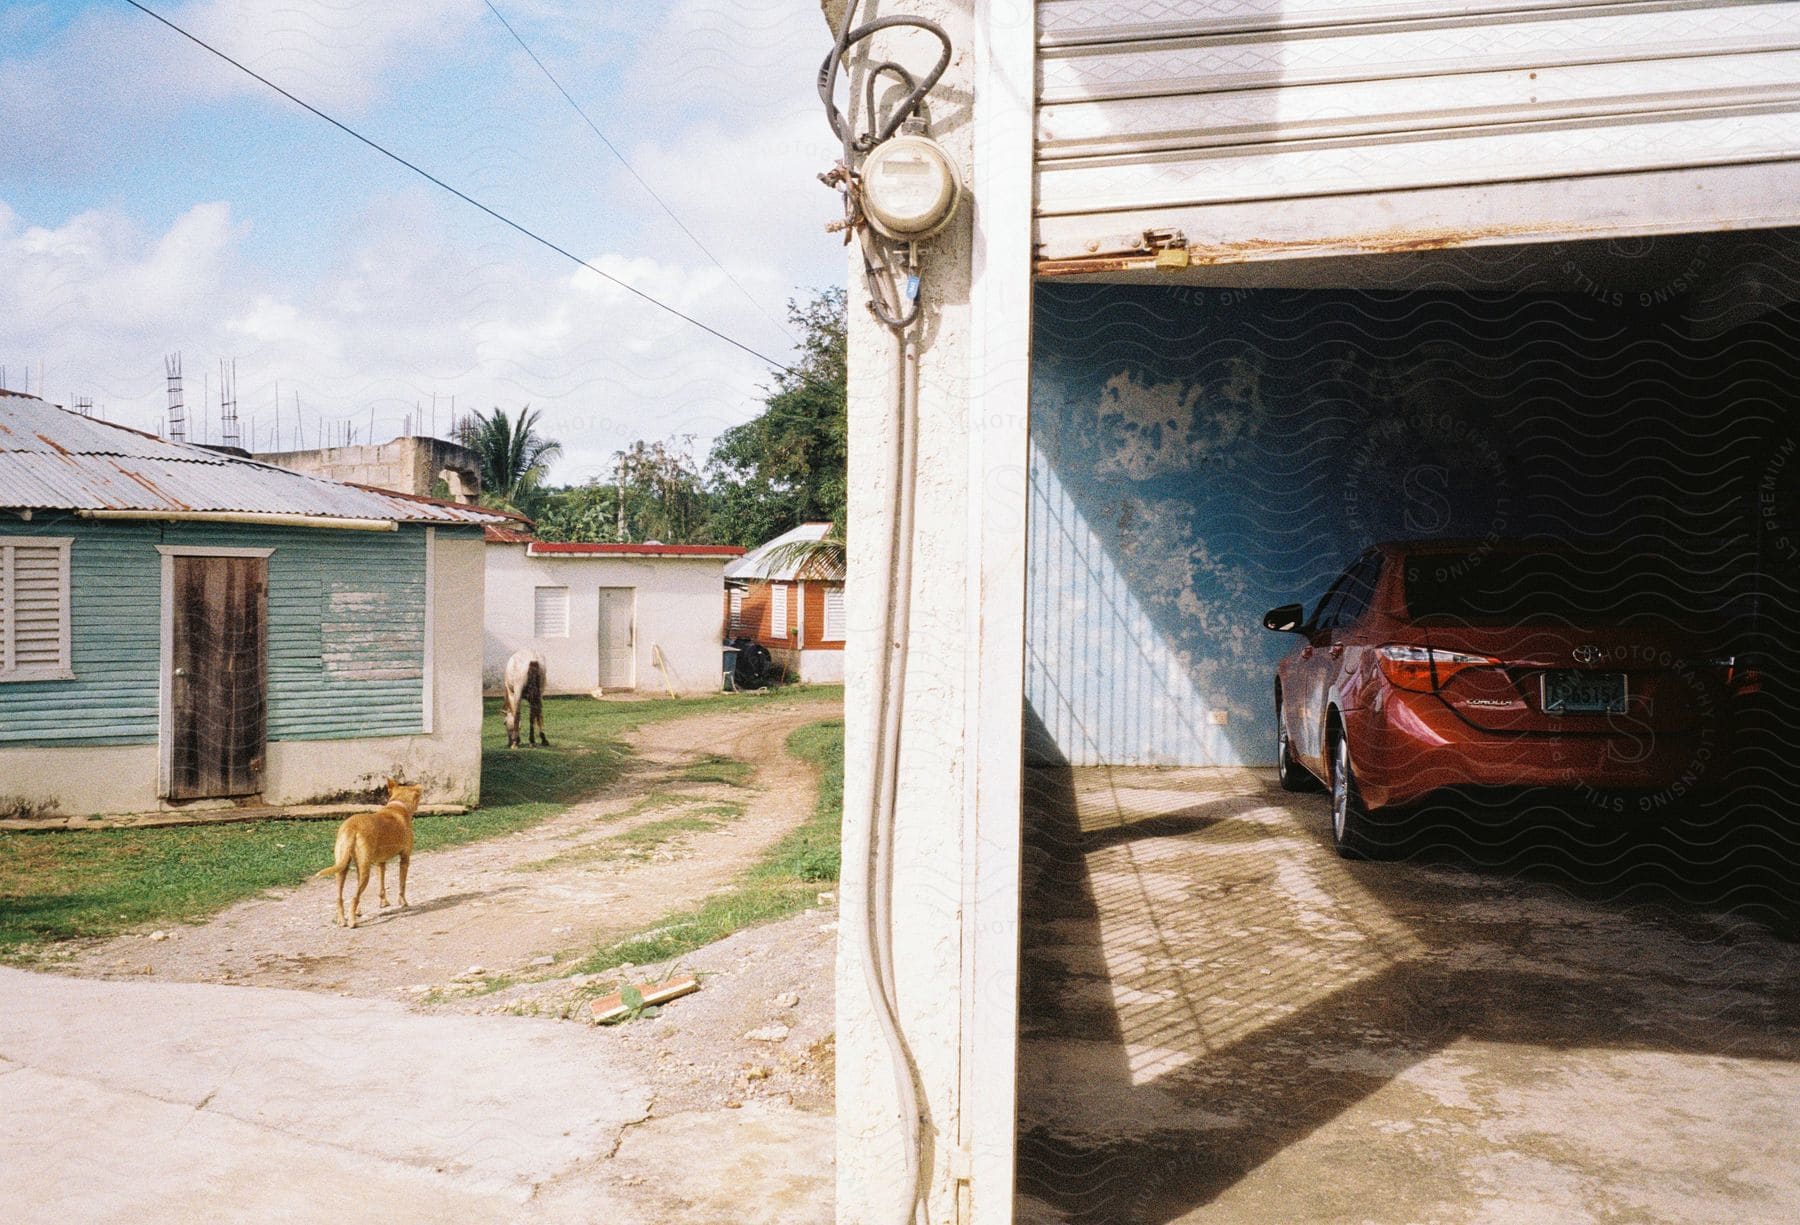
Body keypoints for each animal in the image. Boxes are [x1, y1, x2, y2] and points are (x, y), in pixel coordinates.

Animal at [316, 784, 424, 928]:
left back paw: (343, 919)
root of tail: (352, 826)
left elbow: (381, 886)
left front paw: (383, 903)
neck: (398, 806)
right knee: (354, 897)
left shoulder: (381, 863)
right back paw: (352, 922)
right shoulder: (405, 858)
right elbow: (402, 885)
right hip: (365, 872)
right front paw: (403, 902)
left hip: (344, 869)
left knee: (340, 897)